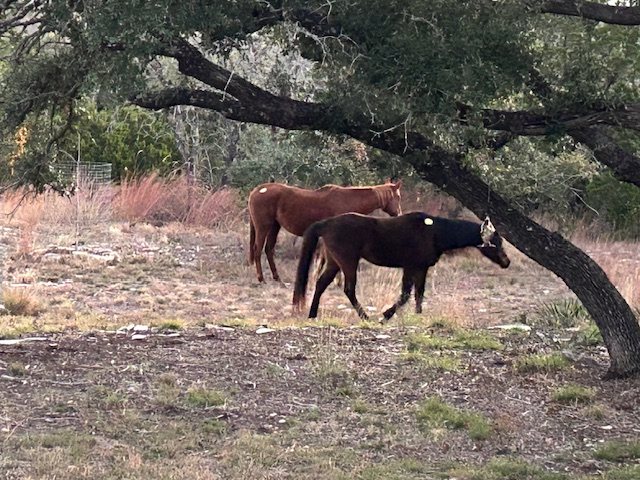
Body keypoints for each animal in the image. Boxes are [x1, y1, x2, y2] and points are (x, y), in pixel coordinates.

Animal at [248, 180, 402, 282]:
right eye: (398, 197)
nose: (399, 214)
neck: (348, 200)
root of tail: (259, 190)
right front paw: (337, 281)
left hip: (274, 226)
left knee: (269, 249)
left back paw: (277, 277)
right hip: (263, 226)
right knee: (258, 249)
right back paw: (261, 278)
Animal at [292, 212, 511, 320]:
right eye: (496, 242)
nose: (507, 262)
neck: (434, 232)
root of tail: (325, 223)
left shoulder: (421, 268)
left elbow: (418, 294)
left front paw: (418, 315)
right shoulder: (411, 267)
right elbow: (406, 294)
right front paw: (386, 315)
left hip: (334, 262)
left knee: (321, 284)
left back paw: (312, 315)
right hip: (348, 261)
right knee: (348, 289)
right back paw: (365, 317)